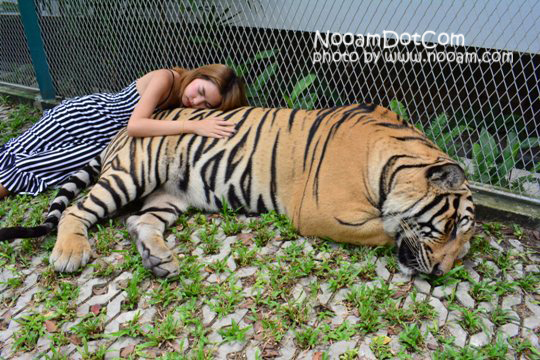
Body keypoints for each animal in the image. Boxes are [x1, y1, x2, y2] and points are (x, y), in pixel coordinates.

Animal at [0, 104, 472, 278]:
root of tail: (119, 133)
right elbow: (387, 231)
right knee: (78, 210)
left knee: (138, 221)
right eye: (449, 229)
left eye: (462, 245)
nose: (443, 272)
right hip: (134, 173)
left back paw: (160, 259)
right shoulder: (322, 212)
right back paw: (70, 253)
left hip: (169, 196)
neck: (394, 162)